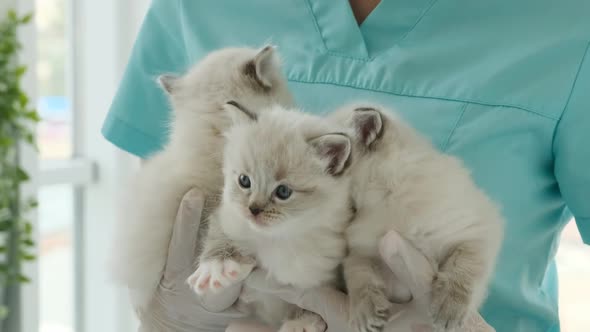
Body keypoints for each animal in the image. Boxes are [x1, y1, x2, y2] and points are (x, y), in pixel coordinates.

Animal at [190, 104, 356, 332]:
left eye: (283, 192)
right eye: (244, 181)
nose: (253, 209)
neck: (275, 238)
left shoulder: (325, 274)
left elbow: (315, 300)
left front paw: (302, 322)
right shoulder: (227, 217)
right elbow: (220, 237)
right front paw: (217, 267)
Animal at [330, 105, 506, 332]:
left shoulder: (476, 230)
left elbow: (464, 267)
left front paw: (448, 308)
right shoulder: (361, 251)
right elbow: (359, 275)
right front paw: (366, 313)